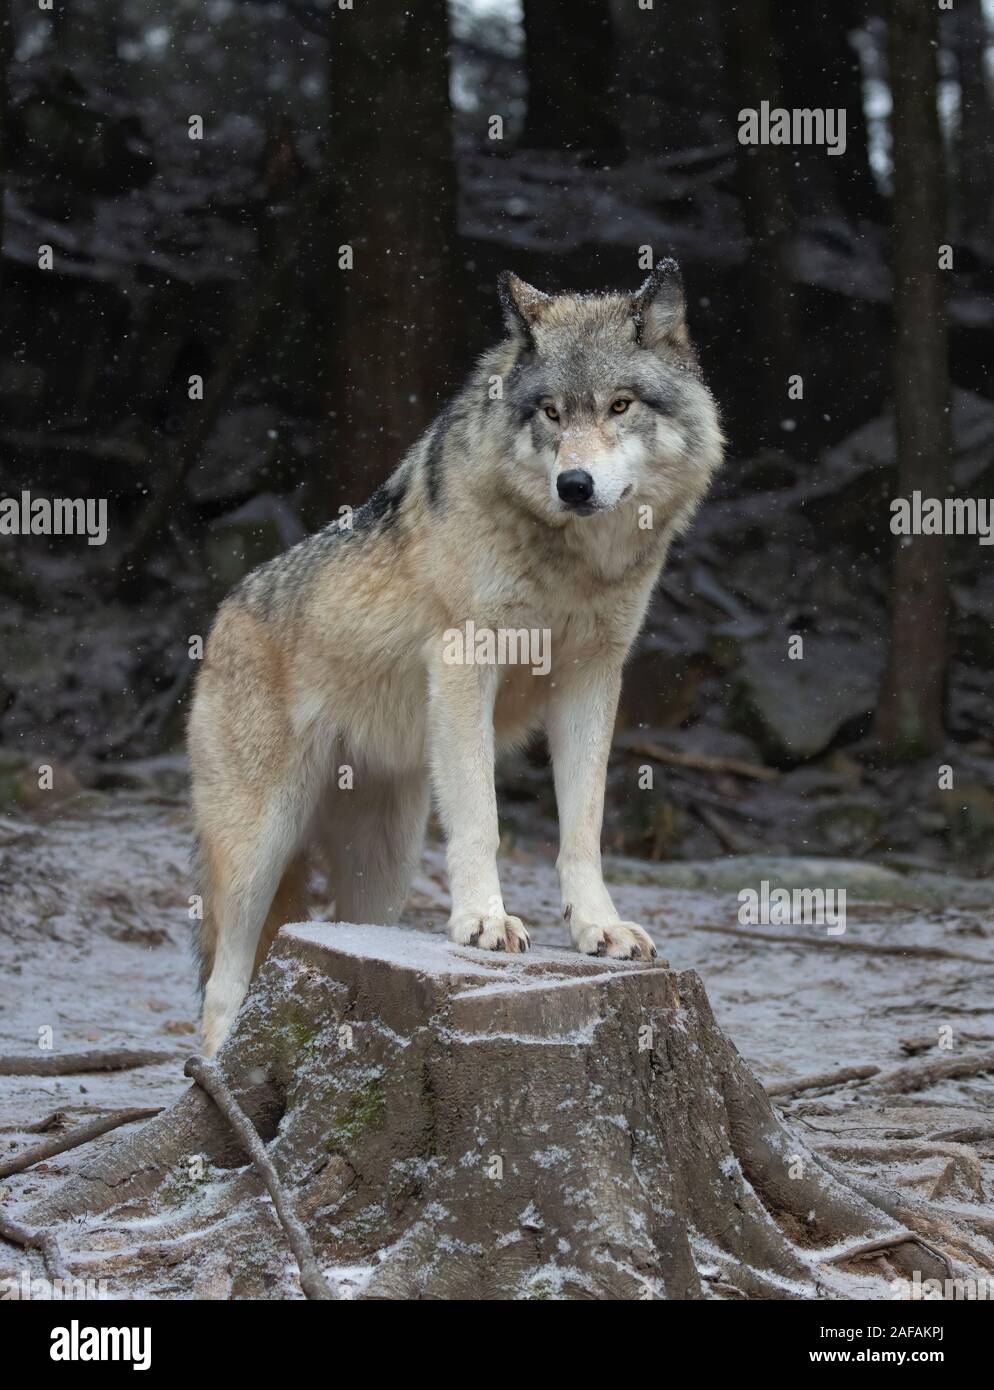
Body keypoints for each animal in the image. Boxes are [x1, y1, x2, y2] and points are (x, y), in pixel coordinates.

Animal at [190, 261, 728, 1050]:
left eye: (620, 405)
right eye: (551, 414)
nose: (574, 485)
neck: (572, 562)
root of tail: (221, 618)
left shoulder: (593, 677)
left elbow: (583, 826)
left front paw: (597, 929)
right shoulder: (465, 664)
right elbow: (483, 817)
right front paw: (483, 921)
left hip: (383, 868)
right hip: (261, 846)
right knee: (223, 985)